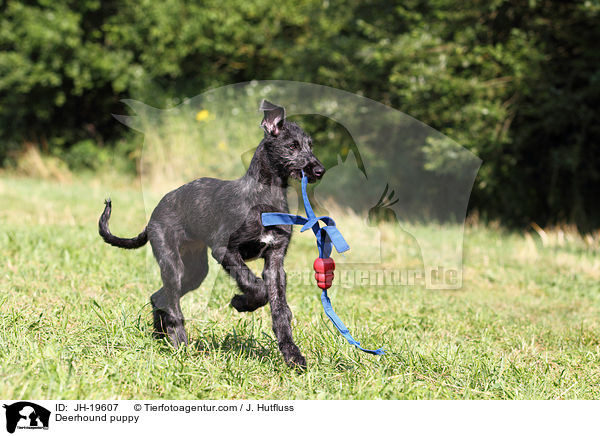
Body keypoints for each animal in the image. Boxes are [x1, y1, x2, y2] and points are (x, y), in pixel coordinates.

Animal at [98, 99, 324, 368]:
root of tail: (154, 214)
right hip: (172, 263)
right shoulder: (224, 249)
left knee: (159, 297)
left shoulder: (275, 260)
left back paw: (160, 336)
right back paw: (180, 345)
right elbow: (254, 285)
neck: (264, 198)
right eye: (292, 146)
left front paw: (292, 355)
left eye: (310, 146)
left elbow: (280, 310)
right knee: (172, 303)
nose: (319, 170)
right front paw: (241, 303)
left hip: (195, 270)